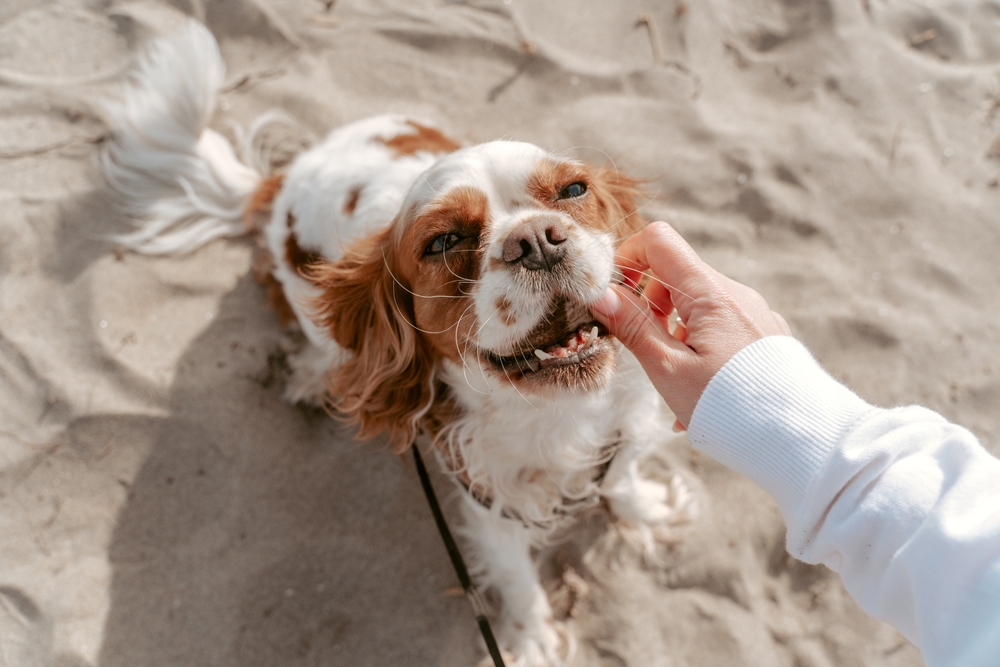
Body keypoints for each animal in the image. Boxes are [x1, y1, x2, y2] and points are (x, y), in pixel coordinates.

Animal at [101, 19, 696, 664]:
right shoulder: (486, 494)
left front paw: (647, 510)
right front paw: (532, 635)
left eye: (573, 190)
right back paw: (314, 374)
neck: (558, 413)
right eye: (443, 242)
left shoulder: (616, 429)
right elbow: (512, 568)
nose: (536, 238)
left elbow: (621, 474)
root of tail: (285, 177)